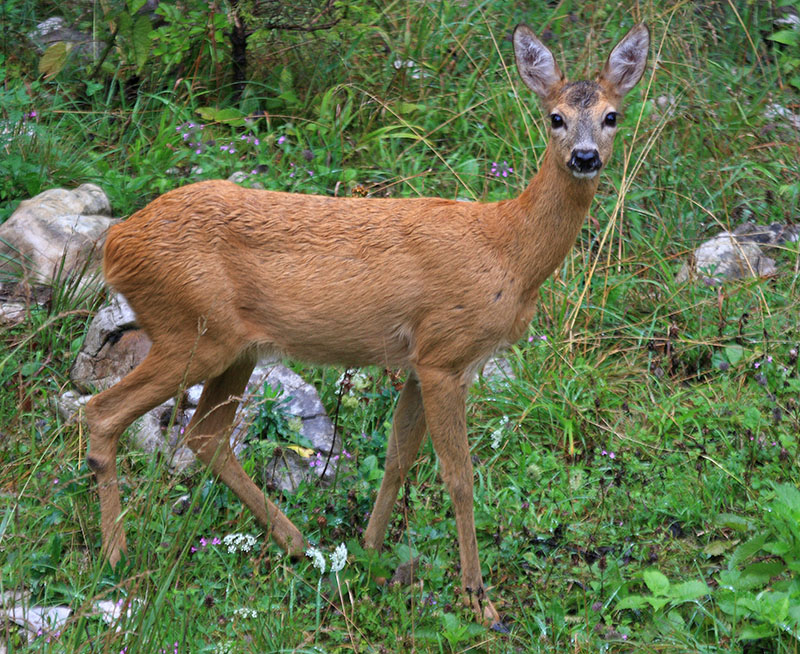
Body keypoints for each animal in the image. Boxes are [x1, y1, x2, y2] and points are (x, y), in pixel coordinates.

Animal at [86, 23, 648, 632]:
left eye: (612, 115)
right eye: (555, 117)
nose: (585, 157)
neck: (508, 250)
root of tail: (116, 245)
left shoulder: (420, 363)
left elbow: (398, 461)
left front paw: (371, 556)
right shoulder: (444, 354)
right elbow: (459, 477)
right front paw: (480, 600)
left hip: (233, 348)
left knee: (204, 434)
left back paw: (297, 544)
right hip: (190, 332)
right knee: (102, 412)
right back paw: (116, 558)